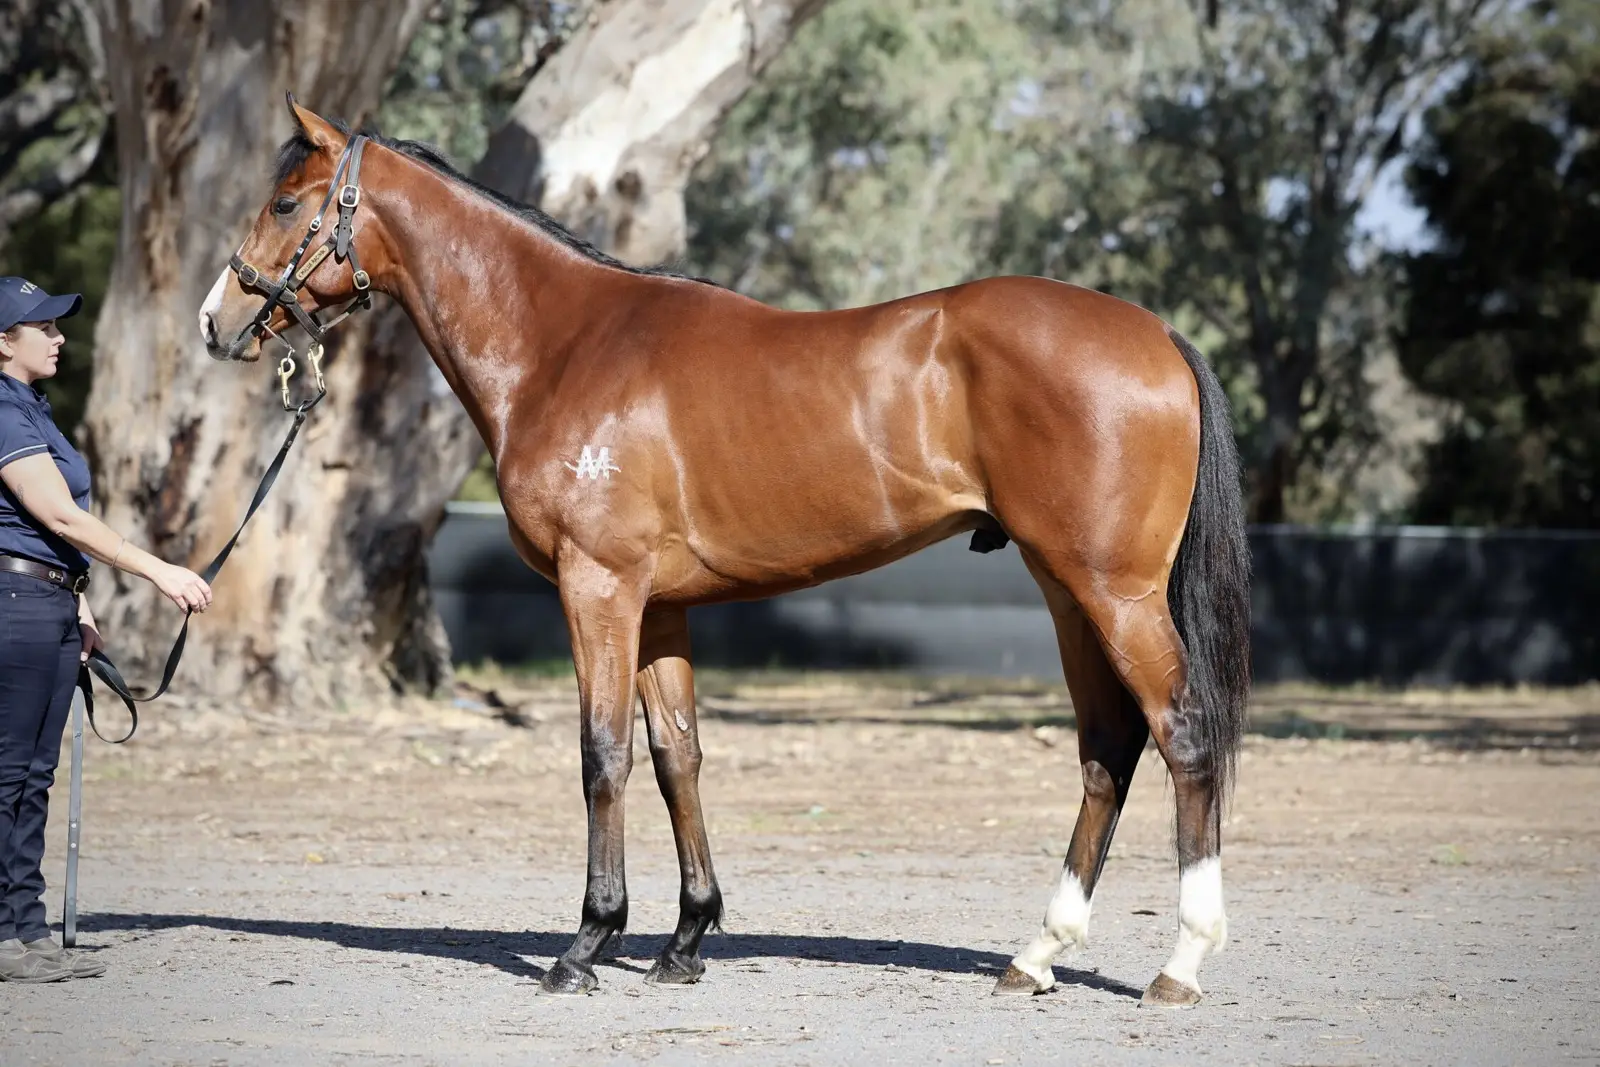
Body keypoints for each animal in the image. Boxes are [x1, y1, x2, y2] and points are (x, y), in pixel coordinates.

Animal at [198, 95, 1251, 1007]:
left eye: (285, 202)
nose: (217, 319)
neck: (563, 346)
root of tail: (1157, 333)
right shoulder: (660, 606)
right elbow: (679, 757)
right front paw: (685, 939)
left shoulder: (599, 589)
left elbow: (604, 754)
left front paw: (587, 943)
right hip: (1069, 590)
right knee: (1108, 749)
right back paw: (1035, 954)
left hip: (1113, 592)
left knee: (1183, 734)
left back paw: (1181, 963)